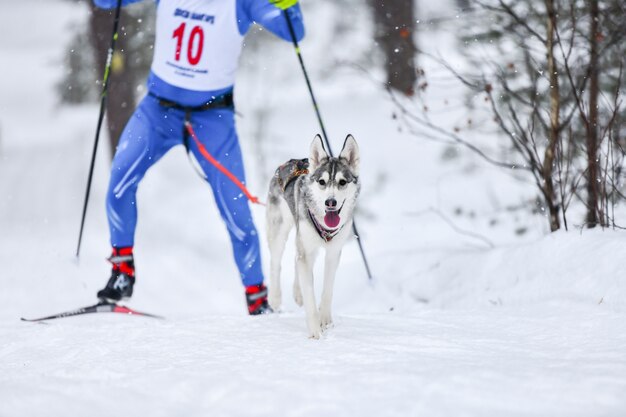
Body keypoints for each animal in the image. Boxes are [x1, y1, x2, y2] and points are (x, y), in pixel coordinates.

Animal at [264, 135, 360, 336]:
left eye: (342, 182)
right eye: (322, 182)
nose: (330, 202)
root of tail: (288, 163)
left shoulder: (333, 252)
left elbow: (327, 290)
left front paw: (325, 320)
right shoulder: (306, 251)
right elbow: (310, 295)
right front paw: (315, 332)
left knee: (295, 258)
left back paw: (297, 292)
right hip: (279, 230)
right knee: (276, 262)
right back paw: (275, 298)